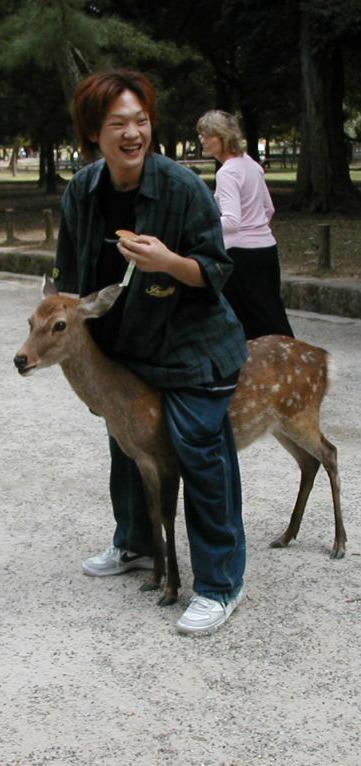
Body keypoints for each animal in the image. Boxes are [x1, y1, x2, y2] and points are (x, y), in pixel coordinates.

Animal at [14, 280, 346, 608]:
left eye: (59, 324)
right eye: (30, 321)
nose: (20, 359)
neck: (126, 404)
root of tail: (327, 360)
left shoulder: (169, 454)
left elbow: (167, 517)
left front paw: (171, 589)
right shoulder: (143, 459)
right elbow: (151, 513)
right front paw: (153, 579)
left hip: (300, 413)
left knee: (330, 453)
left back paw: (339, 544)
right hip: (280, 424)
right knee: (309, 462)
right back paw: (286, 536)